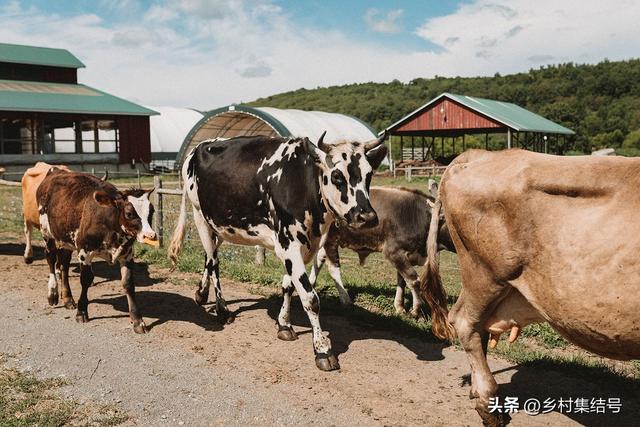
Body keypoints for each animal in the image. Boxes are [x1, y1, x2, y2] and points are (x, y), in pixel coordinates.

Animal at [37, 170, 158, 334]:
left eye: (152, 211)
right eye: (129, 213)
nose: (150, 235)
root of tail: (55, 171)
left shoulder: (127, 254)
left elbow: (128, 283)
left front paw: (138, 321)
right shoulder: (84, 252)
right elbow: (86, 279)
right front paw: (82, 312)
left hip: (66, 240)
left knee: (64, 265)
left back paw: (68, 298)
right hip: (46, 232)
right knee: (51, 258)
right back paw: (52, 293)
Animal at [168, 133, 384, 372]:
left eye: (369, 174)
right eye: (337, 175)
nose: (367, 217)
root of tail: (200, 145)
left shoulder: (303, 244)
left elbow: (288, 286)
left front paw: (284, 324)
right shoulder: (288, 242)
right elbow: (310, 298)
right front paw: (322, 349)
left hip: (220, 224)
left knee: (209, 256)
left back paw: (202, 293)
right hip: (200, 217)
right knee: (214, 262)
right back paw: (222, 309)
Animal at [308, 184, 456, 320]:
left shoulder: (404, 255)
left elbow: (402, 280)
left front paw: (399, 307)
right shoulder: (393, 251)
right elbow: (413, 280)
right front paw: (416, 311)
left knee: (318, 260)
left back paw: (311, 284)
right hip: (331, 239)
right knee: (333, 268)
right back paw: (346, 300)